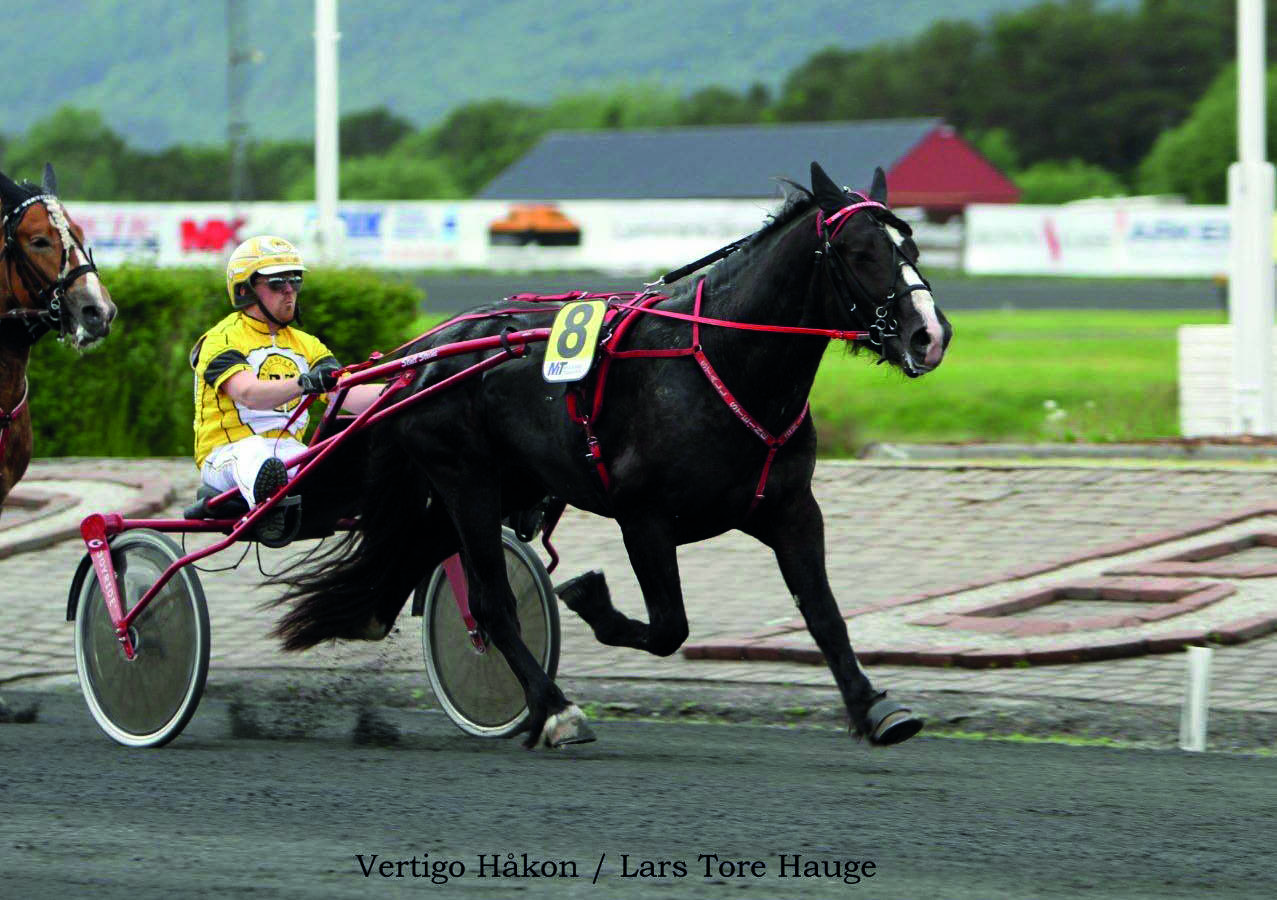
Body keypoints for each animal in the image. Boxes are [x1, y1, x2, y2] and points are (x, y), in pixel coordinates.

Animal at [277, 163, 950, 750]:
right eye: (861, 251)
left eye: (911, 247)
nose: (931, 335)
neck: (722, 363)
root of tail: (421, 359)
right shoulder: (643, 517)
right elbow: (669, 627)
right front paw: (588, 598)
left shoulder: (790, 509)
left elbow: (825, 615)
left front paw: (875, 707)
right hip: (466, 482)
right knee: (492, 603)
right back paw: (555, 711)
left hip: (494, 486)